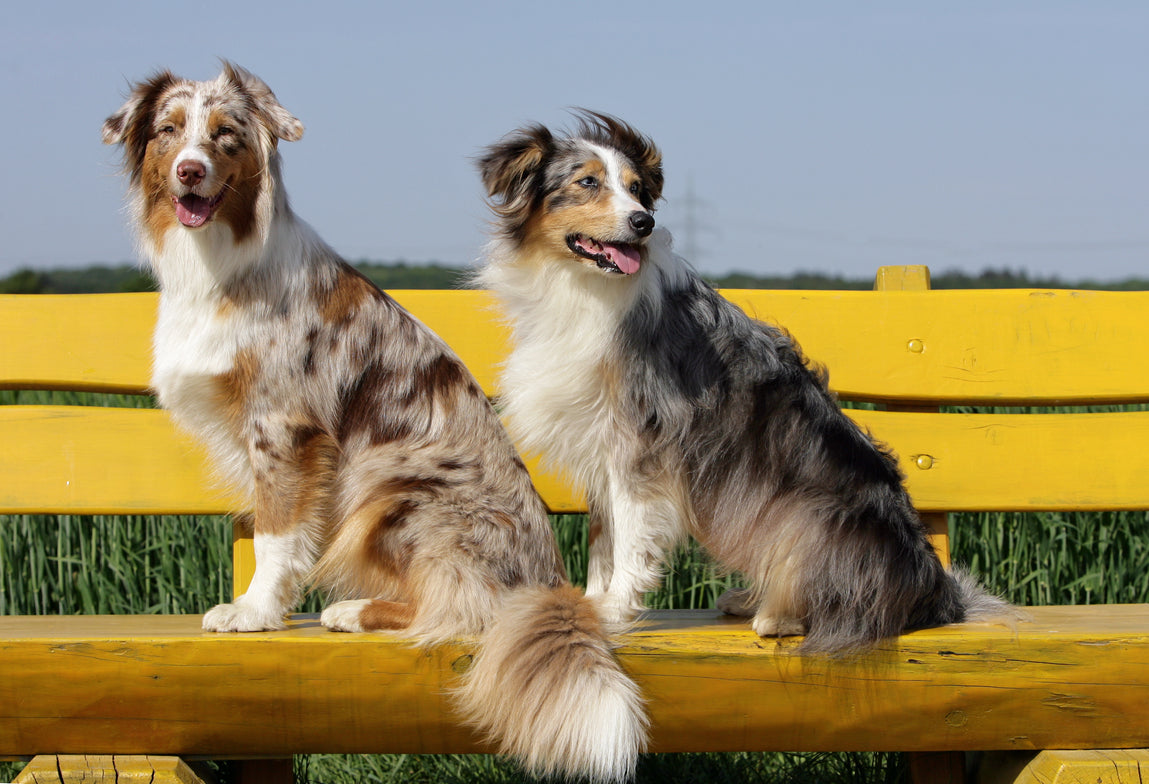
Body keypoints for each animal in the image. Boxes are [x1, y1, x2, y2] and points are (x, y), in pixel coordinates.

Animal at [104, 65, 648, 777]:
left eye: (225, 136)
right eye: (168, 131)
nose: (190, 170)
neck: (218, 259)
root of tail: (549, 583)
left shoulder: (285, 424)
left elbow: (277, 530)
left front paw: (253, 611)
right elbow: (268, 524)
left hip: (394, 491)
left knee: (464, 606)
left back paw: (355, 611)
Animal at [475, 111, 1015, 652]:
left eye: (636, 189)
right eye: (587, 182)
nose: (643, 222)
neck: (581, 285)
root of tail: (936, 592)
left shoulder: (639, 445)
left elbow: (630, 538)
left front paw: (614, 610)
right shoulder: (597, 443)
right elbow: (601, 540)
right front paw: (592, 603)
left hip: (810, 511)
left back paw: (780, 615)